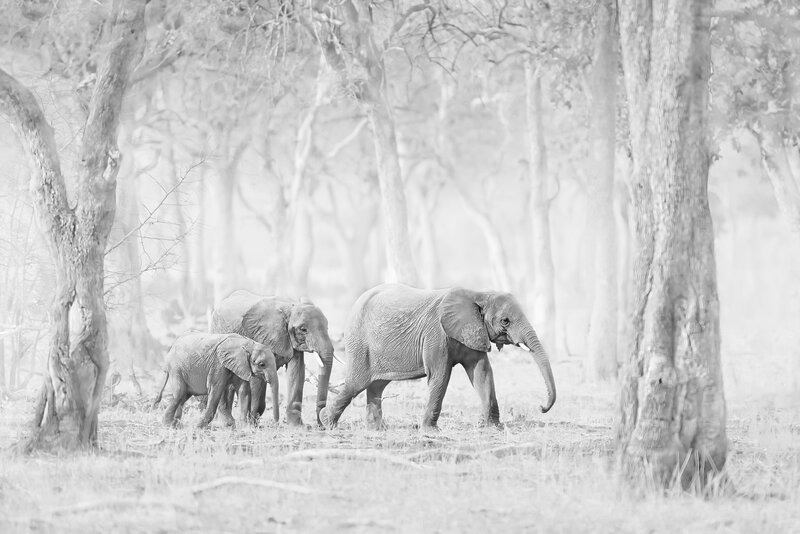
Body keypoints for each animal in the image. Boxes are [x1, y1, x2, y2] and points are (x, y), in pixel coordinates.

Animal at [210, 290, 336, 426]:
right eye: (303, 329)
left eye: (327, 327)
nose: (321, 426)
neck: (290, 308)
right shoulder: (258, 335)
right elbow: (255, 378)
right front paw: (251, 424)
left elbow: (296, 372)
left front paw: (298, 427)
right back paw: (227, 422)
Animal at [319, 284, 556, 430]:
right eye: (505, 321)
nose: (541, 407)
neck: (478, 293)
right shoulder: (436, 335)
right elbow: (440, 375)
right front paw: (431, 431)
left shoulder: (472, 331)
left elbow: (482, 373)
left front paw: (493, 427)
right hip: (359, 343)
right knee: (356, 383)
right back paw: (326, 423)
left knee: (377, 385)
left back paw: (377, 430)